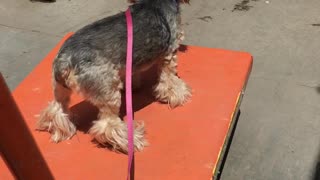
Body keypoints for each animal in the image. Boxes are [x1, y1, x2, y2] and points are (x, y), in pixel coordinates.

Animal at [36, 0, 191, 153]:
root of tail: (64, 60)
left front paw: (133, 86)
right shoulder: (169, 52)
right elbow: (169, 80)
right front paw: (179, 95)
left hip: (60, 89)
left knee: (57, 109)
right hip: (107, 90)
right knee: (107, 126)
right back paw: (132, 140)